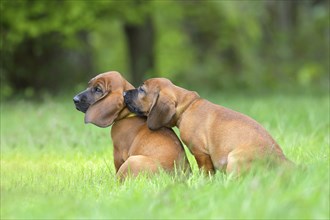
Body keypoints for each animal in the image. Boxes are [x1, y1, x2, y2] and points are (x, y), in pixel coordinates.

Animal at [123, 78, 292, 174]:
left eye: (142, 90)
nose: (124, 93)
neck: (187, 107)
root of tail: (282, 161)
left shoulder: (201, 153)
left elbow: (206, 171)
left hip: (235, 158)